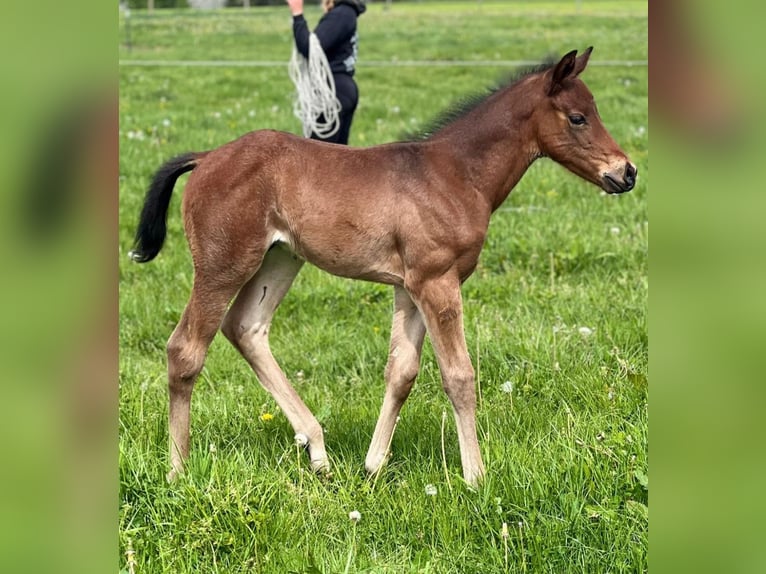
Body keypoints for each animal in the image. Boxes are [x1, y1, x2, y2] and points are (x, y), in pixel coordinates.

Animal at [130, 47, 637, 487]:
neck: (456, 174)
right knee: (185, 349)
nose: (626, 172)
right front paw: (475, 476)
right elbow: (459, 376)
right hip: (223, 265)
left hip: (280, 258)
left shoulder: (408, 286)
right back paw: (178, 470)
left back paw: (318, 451)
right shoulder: (437, 281)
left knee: (246, 328)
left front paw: (373, 466)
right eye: (578, 117)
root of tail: (206, 157)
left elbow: (402, 371)